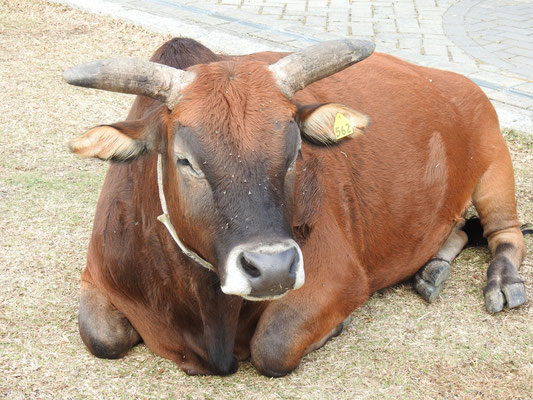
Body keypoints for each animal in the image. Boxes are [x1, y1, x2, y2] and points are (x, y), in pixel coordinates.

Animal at [63, 36, 524, 376]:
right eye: (185, 160)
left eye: (295, 150)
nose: (272, 269)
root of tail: (457, 82)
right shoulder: (95, 274)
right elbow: (101, 337)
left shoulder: (341, 276)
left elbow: (274, 347)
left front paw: (336, 326)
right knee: (459, 229)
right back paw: (432, 269)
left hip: (495, 167)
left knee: (507, 234)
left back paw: (503, 282)